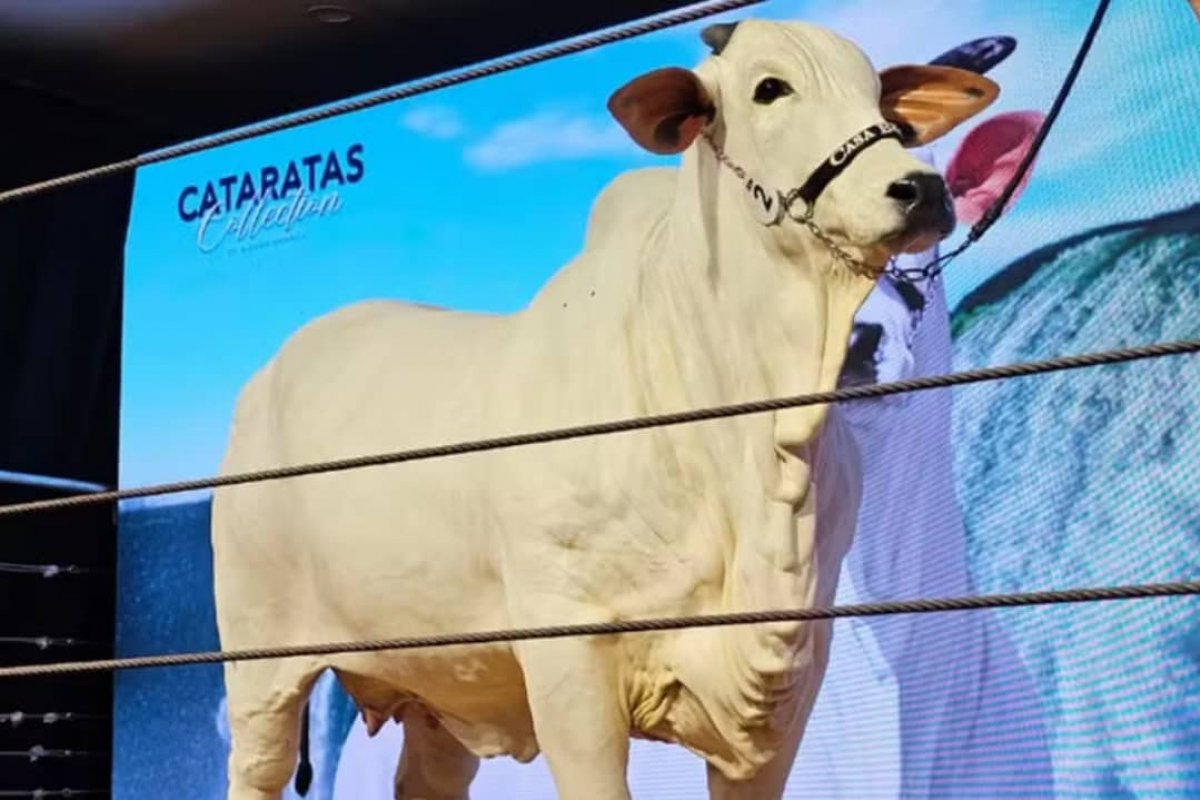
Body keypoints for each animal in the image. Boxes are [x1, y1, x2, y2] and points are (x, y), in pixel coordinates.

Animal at [210, 18, 997, 800]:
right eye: (769, 88)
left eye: (882, 98)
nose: (918, 188)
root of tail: (266, 376)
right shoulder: (570, 655)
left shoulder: (790, 680)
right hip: (259, 665)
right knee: (257, 768)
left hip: (447, 684)